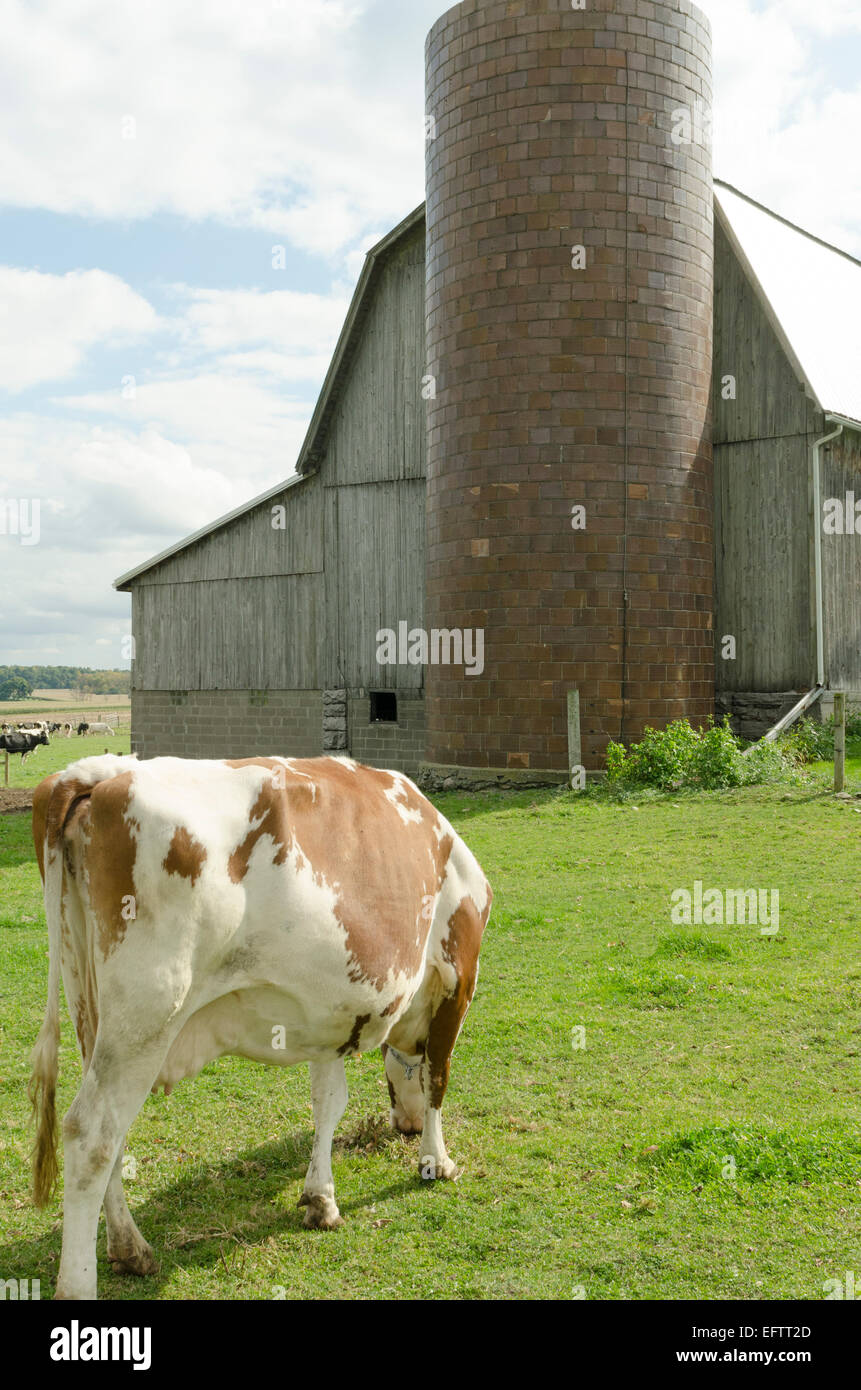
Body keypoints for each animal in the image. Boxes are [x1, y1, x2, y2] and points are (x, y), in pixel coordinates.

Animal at [28, 756, 492, 1295]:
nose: (404, 1124)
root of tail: (98, 772)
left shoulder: (331, 1016)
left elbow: (329, 1102)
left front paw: (321, 1198)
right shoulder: (459, 975)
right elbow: (438, 1076)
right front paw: (436, 1160)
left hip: (91, 1010)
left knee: (112, 1133)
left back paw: (130, 1247)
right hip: (146, 1018)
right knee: (92, 1134)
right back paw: (80, 1281)